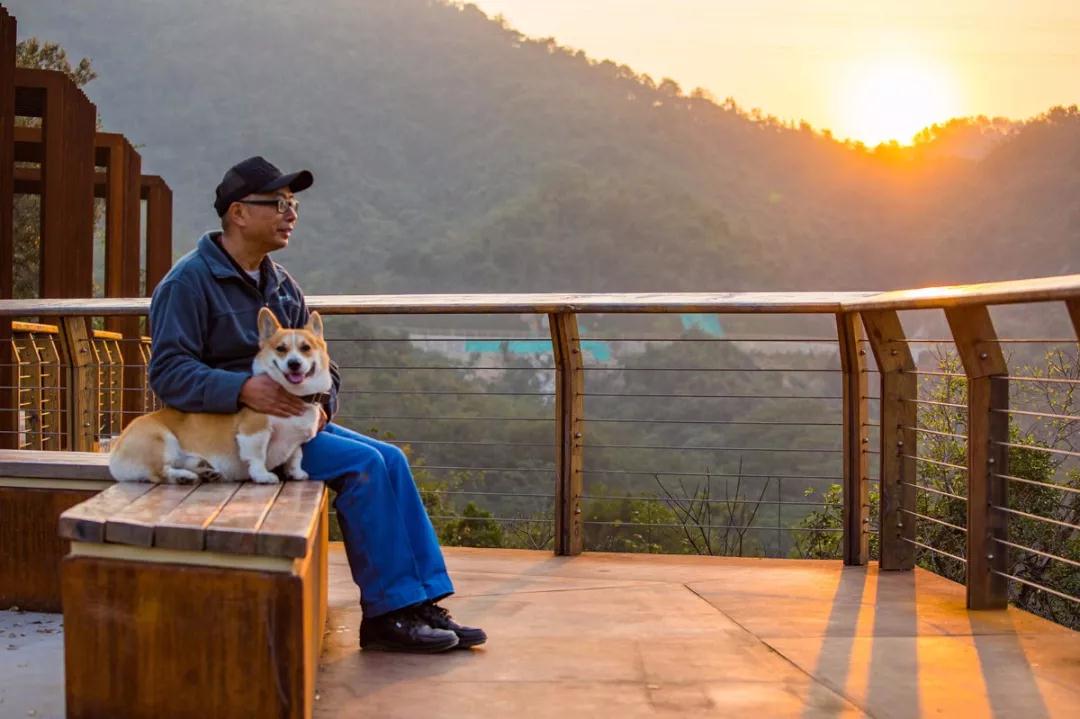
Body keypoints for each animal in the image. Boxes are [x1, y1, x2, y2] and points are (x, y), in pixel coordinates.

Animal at [109, 306, 330, 481]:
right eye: (281, 349)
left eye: (306, 348)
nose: (294, 364)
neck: (295, 394)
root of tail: (115, 453)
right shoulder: (254, 432)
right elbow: (257, 457)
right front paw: (263, 476)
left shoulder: (296, 442)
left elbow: (295, 456)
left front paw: (296, 473)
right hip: (162, 441)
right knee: (160, 473)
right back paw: (184, 477)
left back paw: (203, 470)